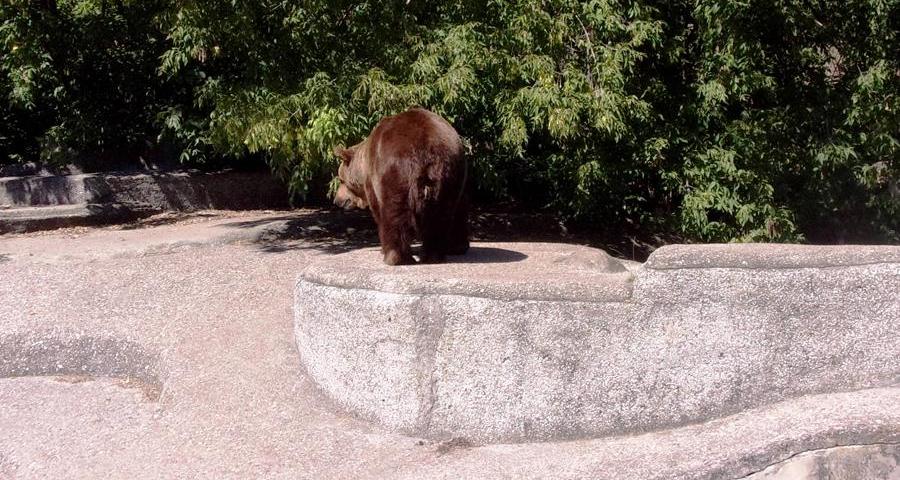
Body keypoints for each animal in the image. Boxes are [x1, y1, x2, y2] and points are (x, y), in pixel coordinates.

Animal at [332, 108, 472, 266]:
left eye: (341, 179)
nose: (337, 200)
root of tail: (427, 150)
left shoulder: (373, 180)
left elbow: (378, 209)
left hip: (395, 173)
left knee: (394, 214)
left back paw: (396, 257)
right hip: (450, 173)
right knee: (441, 215)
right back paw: (434, 255)